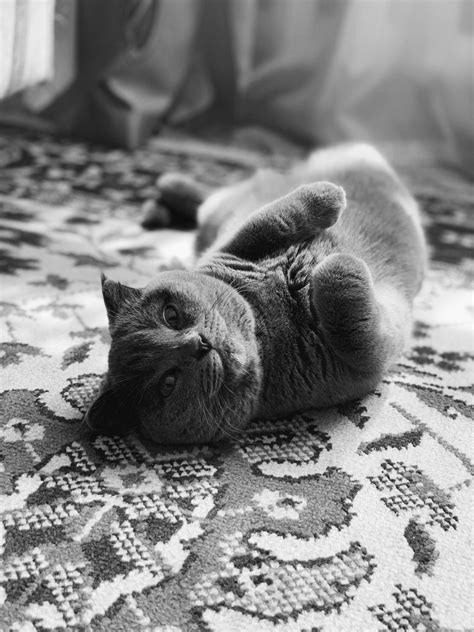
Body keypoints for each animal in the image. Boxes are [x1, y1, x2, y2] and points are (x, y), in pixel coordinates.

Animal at [83, 143, 428, 444]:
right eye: (167, 383)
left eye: (171, 315)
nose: (199, 343)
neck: (270, 324)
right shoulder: (366, 365)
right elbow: (353, 325)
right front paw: (340, 264)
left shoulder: (232, 246)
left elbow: (272, 219)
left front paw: (328, 195)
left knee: (212, 196)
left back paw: (164, 194)